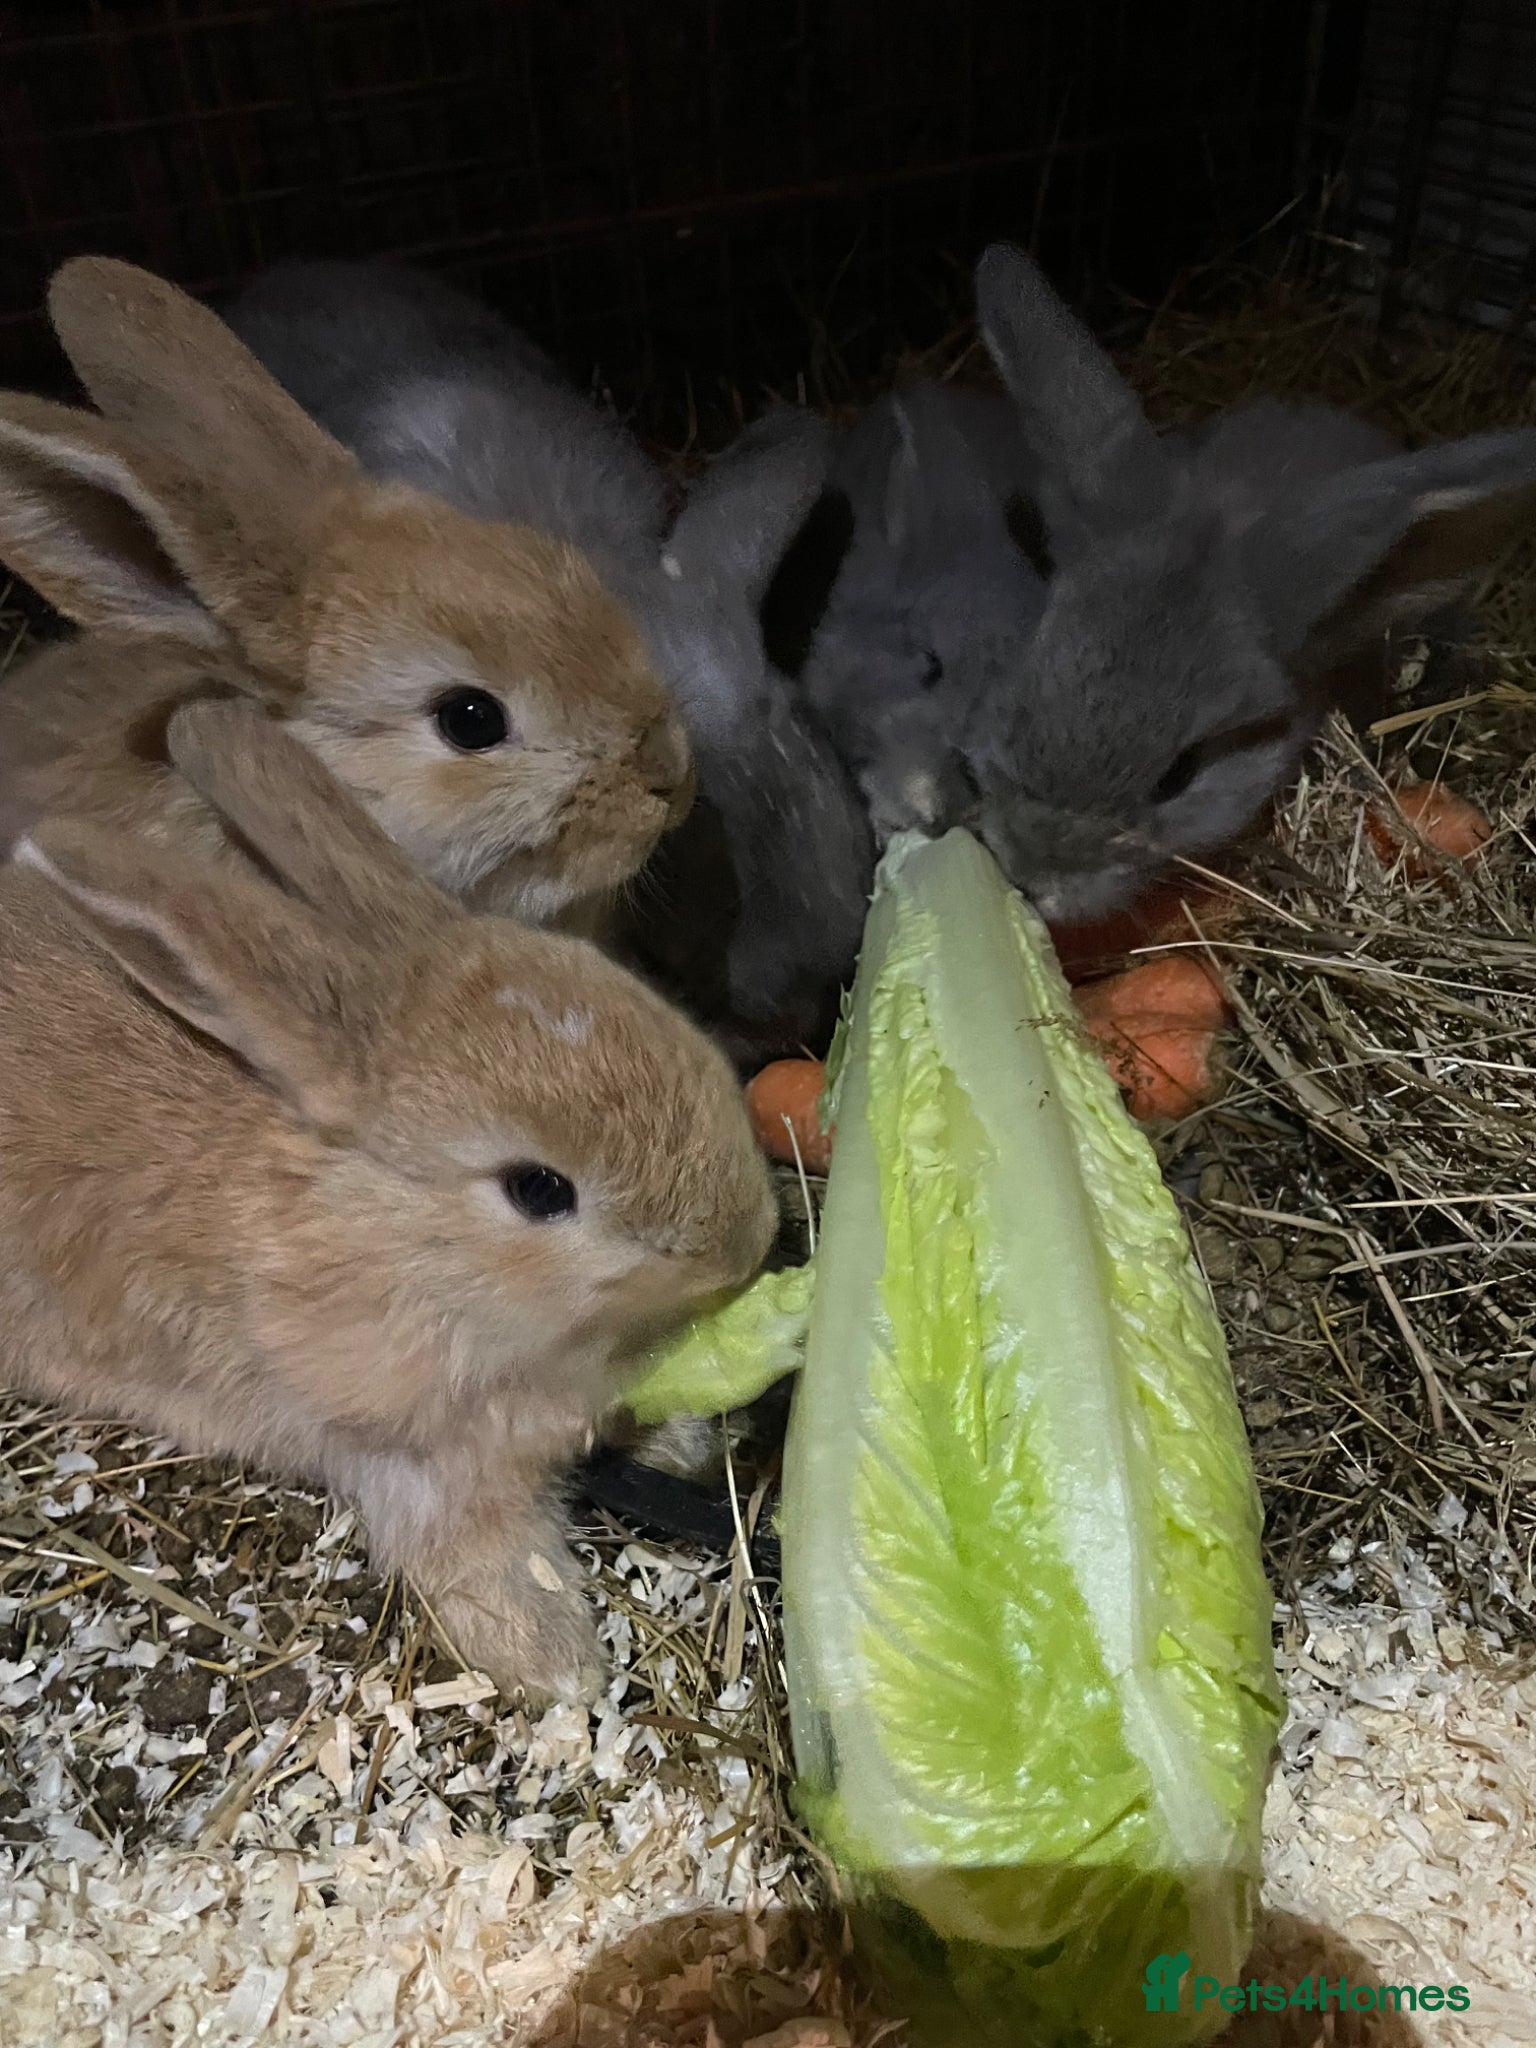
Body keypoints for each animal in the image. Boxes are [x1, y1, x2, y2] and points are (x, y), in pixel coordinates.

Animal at [1, 697, 776, 1702]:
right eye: (538, 1189)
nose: (750, 1241)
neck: (388, 1244)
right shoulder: (409, 1454)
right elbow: (487, 1553)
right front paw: (561, 1666)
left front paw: (688, 1438)